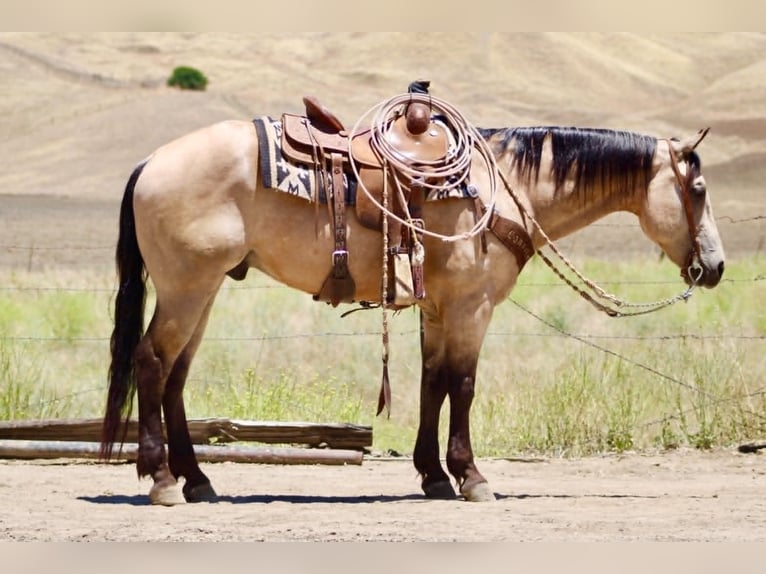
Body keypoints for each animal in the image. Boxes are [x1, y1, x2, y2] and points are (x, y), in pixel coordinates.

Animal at [100, 107, 725, 505]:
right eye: (697, 191)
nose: (715, 268)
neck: (501, 188)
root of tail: (152, 162)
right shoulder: (473, 306)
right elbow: (464, 385)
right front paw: (471, 478)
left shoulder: (440, 308)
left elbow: (433, 382)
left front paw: (433, 476)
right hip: (187, 288)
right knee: (152, 362)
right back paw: (162, 481)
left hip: (202, 290)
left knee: (176, 376)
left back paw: (197, 481)